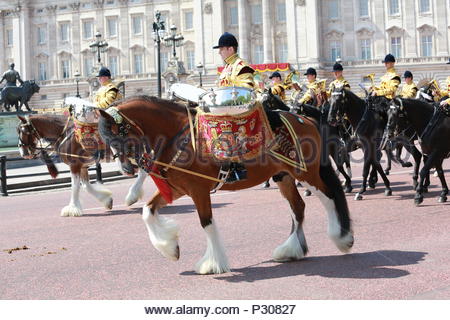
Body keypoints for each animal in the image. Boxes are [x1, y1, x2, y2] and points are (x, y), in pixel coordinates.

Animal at [16, 114, 148, 216]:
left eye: (24, 131)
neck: (64, 134)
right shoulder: (83, 166)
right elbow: (86, 186)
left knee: (144, 171)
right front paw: (106, 200)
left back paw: (132, 196)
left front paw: (72, 208)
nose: (23, 152)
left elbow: (75, 186)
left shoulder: (74, 165)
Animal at [96, 96, 354, 274]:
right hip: (284, 176)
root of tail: (305, 119)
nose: (128, 169)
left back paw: (341, 238)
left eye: (120, 132)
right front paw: (170, 248)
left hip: (306, 173)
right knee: (298, 208)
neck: (178, 135)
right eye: (107, 139)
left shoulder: (199, 190)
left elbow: (206, 223)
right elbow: (147, 211)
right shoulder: (179, 189)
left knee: (329, 197)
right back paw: (291, 250)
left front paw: (212, 263)